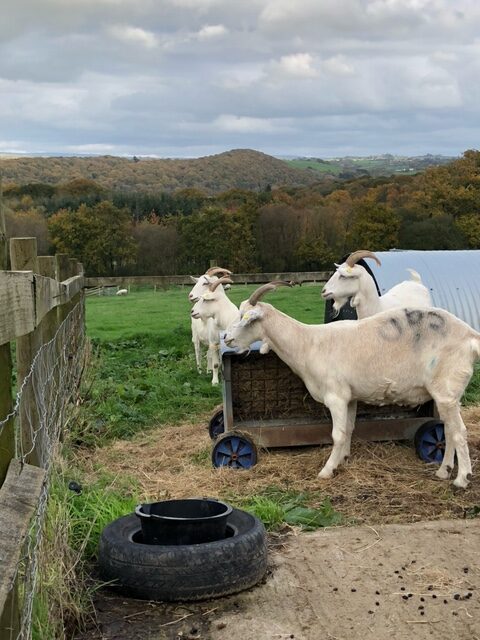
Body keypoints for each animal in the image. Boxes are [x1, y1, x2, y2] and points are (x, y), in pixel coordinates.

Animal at [224, 281, 480, 488]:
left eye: (244, 317)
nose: (225, 337)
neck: (308, 343)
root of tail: (471, 336)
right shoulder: (350, 397)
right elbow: (348, 429)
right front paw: (343, 460)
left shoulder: (335, 396)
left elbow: (337, 434)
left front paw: (327, 470)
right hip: (448, 394)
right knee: (449, 429)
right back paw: (443, 471)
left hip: (446, 389)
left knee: (459, 432)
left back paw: (462, 479)